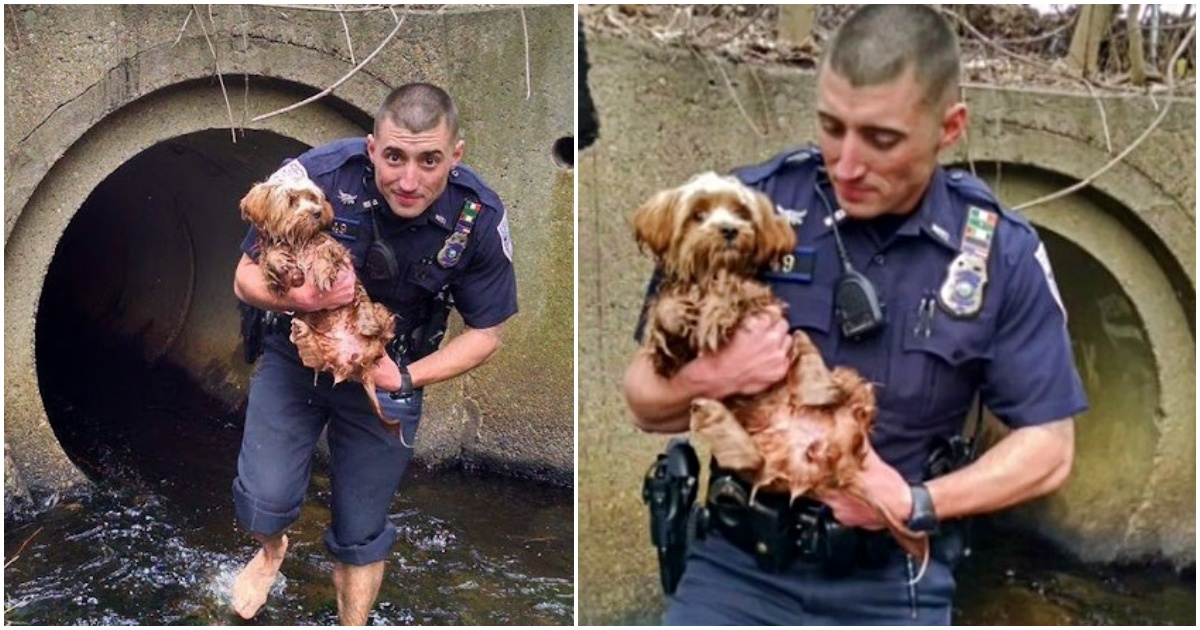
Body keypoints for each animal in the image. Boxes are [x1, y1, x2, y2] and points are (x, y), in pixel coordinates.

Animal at [238, 169, 408, 439]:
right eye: (291, 200)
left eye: (313, 198)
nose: (317, 212)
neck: (299, 239)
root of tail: (360, 363)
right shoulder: (272, 264)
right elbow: (270, 260)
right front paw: (280, 262)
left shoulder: (334, 249)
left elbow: (326, 250)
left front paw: (322, 270)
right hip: (322, 348)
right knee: (316, 359)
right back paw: (304, 335)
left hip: (379, 312)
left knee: (380, 327)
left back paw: (367, 323)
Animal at [638, 170, 926, 580]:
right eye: (697, 214)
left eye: (741, 211)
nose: (729, 230)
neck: (709, 271)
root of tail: (829, 456)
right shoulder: (672, 360)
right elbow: (664, 323)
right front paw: (676, 312)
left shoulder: (762, 301)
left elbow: (735, 289)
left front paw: (716, 308)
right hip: (759, 450)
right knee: (748, 458)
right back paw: (717, 417)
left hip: (843, 379)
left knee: (832, 378)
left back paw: (817, 389)